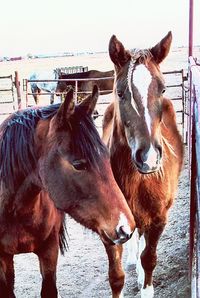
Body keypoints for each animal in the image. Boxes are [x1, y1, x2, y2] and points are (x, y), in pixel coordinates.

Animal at [102, 33, 184, 298]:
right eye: (119, 93)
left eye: (163, 88)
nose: (148, 157)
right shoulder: (109, 228)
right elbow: (116, 276)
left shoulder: (158, 219)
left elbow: (149, 259)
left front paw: (144, 282)